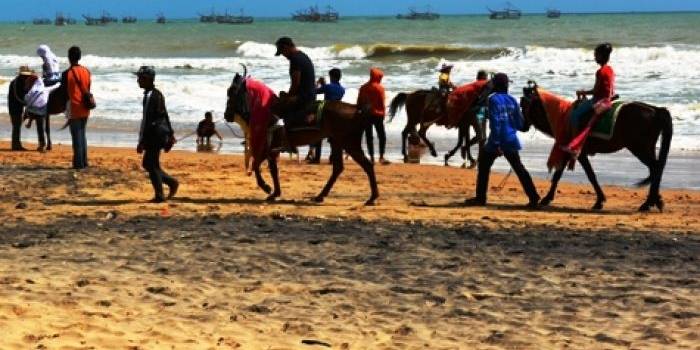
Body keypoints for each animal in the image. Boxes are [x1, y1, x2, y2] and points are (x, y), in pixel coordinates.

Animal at [223, 68, 378, 205]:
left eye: (232, 92)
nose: (226, 115)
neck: (265, 112)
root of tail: (357, 110)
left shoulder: (267, 148)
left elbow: (256, 165)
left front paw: (266, 187)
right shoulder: (271, 150)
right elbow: (272, 170)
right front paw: (275, 192)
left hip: (349, 143)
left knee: (367, 165)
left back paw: (372, 198)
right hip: (337, 142)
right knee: (338, 168)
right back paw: (321, 195)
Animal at [520, 82, 672, 212]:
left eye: (522, 104)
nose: (523, 126)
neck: (562, 116)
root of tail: (656, 110)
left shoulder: (578, 152)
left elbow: (590, 175)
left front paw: (599, 201)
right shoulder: (568, 151)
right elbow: (558, 174)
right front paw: (547, 198)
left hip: (639, 148)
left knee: (656, 168)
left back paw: (649, 203)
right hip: (647, 148)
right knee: (655, 169)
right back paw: (653, 201)